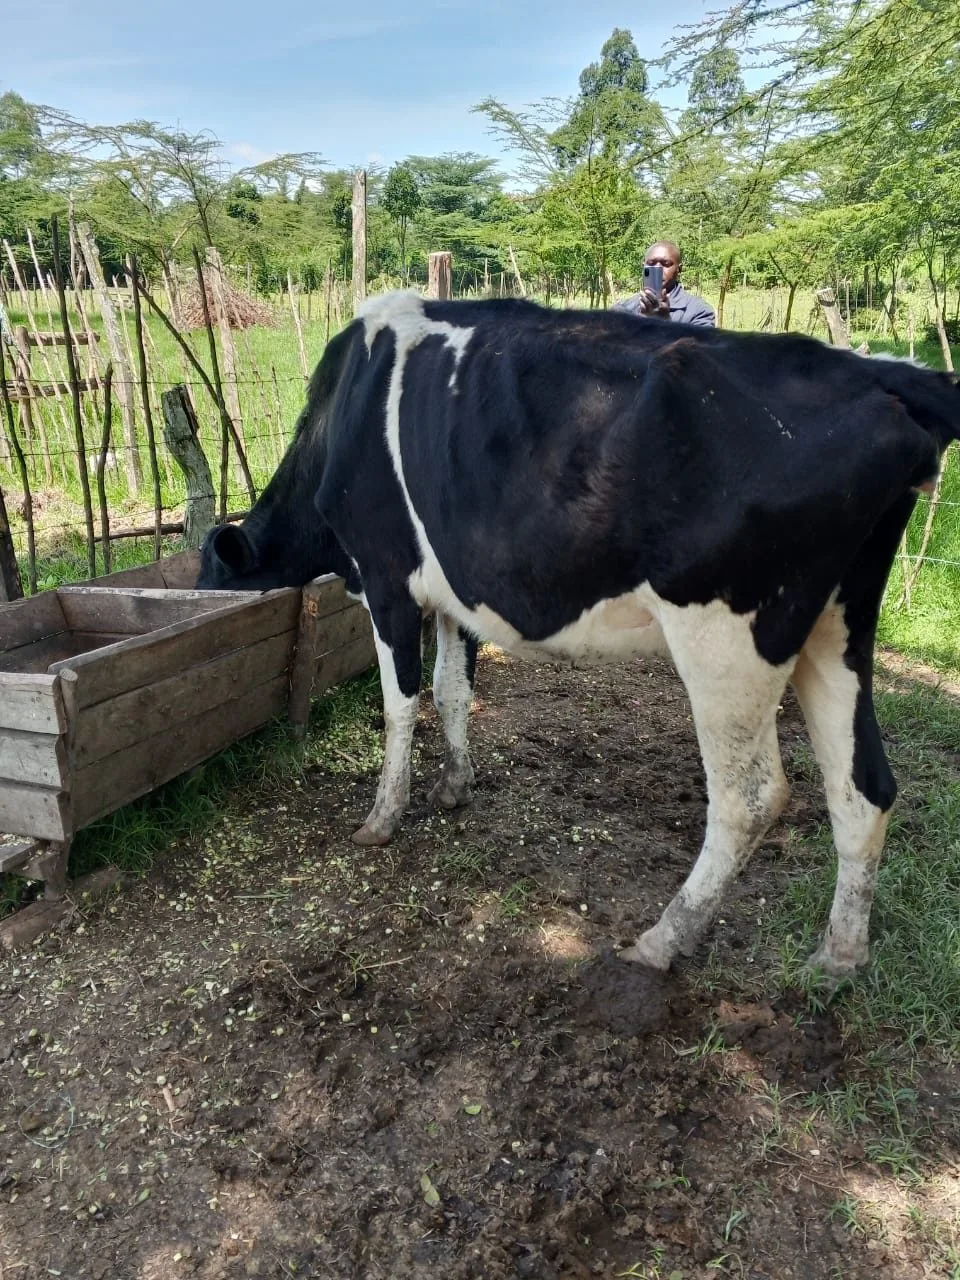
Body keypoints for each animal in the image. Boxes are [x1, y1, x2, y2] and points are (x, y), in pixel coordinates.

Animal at [198, 291, 960, 978]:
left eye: (210, 567)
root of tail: (881, 374)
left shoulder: (385, 578)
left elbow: (401, 704)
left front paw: (383, 818)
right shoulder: (454, 595)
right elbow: (451, 691)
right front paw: (455, 786)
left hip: (726, 639)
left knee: (750, 798)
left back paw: (660, 941)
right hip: (838, 627)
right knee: (863, 788)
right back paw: (837, 959)